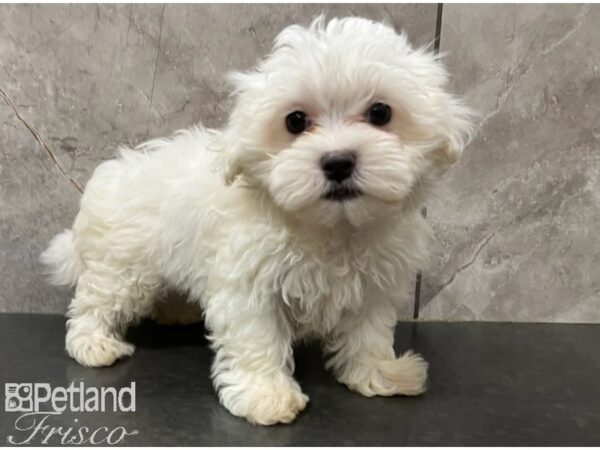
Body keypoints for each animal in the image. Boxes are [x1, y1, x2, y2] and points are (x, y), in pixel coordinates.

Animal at [41, 17, 474, 426]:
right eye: (295, 121)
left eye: (381, 113)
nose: (338, 162)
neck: (330, 228)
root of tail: (112, 176)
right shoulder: (249, 283)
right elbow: (257, 338)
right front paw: (265, 395)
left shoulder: (373, 286)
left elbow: (368, 333)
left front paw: (379, 374)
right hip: (122, 267)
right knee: (94, 303)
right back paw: (93, 343)